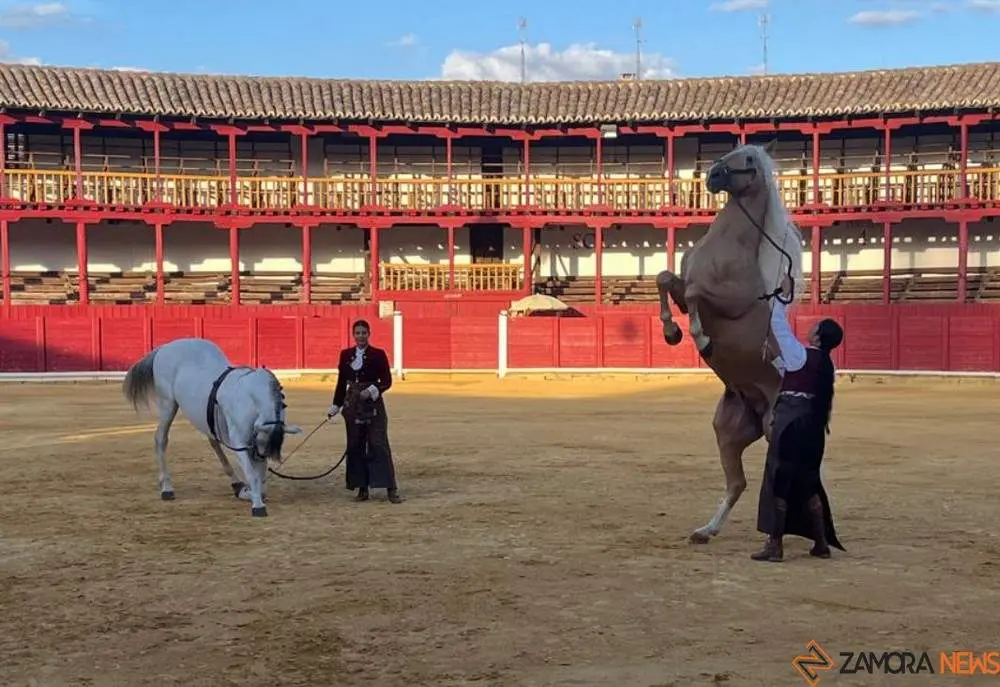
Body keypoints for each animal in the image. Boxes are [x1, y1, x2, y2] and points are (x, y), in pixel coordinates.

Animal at [122, 337, 302, 517]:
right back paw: (167, 488)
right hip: (168, 405)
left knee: (214, 442)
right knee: (161, 439)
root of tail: (167, 346)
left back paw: (237, 485)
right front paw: (257, 504)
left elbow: (259, 472)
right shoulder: (240, 442)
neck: (252, 398)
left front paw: (252, 493)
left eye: (264, 452)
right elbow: (251, 473)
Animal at [655, 140, 805, 544]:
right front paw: (671, 332)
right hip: (728, 432)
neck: (728, 246)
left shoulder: (728, 302)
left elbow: (695, 295)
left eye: (749, 159)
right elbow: (665, 279)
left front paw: (700, 337)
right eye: (733, 151)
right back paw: (705, 531)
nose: (713, 175)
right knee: (737, 483)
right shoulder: (681, 285)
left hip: (772, 432)